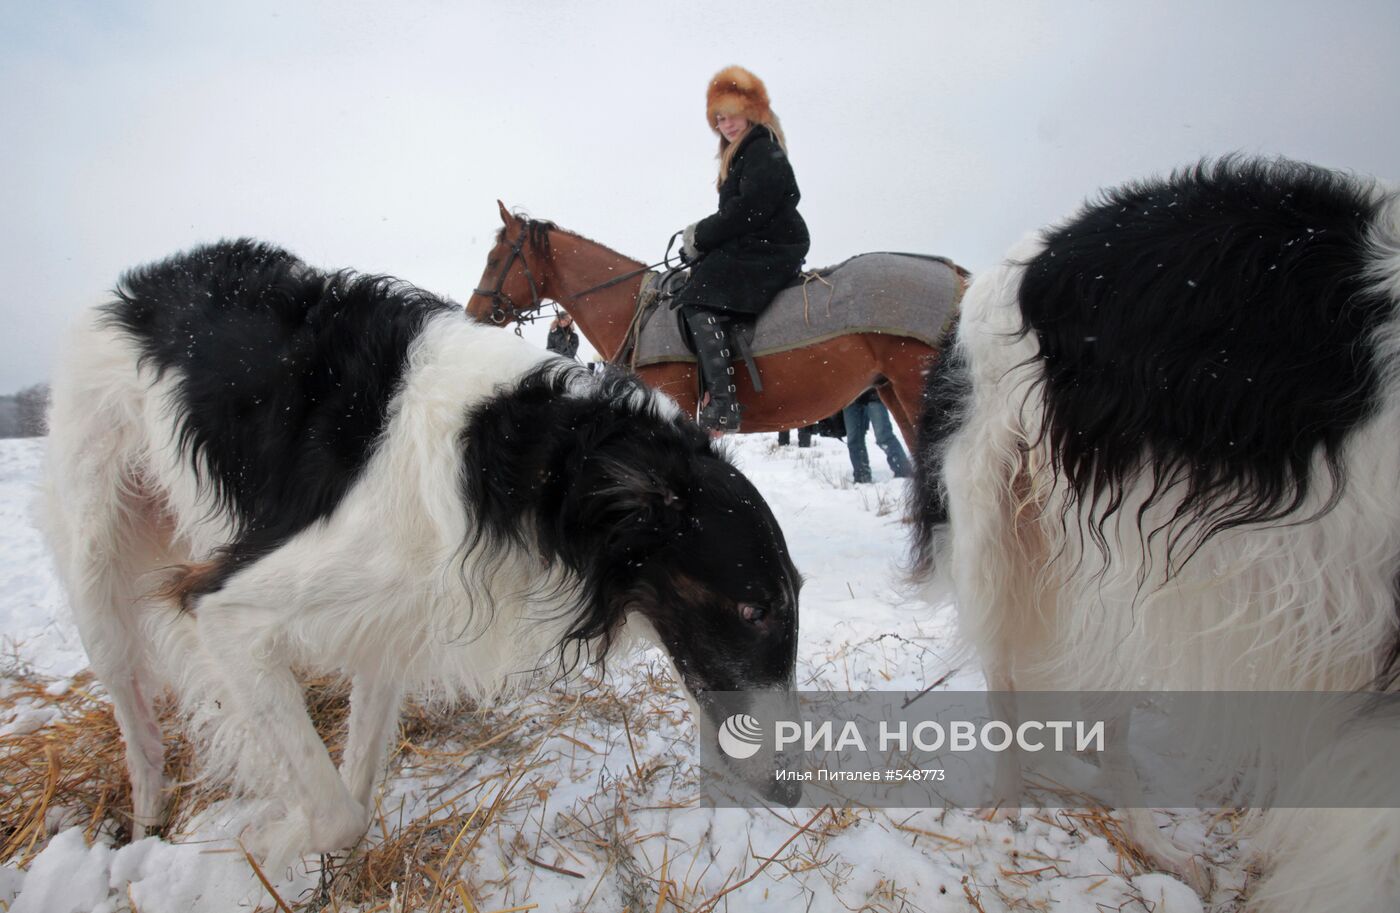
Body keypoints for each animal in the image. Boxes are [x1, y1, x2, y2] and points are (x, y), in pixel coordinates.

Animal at [40, 239, 800, 856]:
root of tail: (137, 286)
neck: (520, 464)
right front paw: (269, 843)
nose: (794, 792)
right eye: (754, 610)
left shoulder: (394, 617)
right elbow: (334, 814)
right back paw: (145, 829)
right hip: (97, 571)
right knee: (137, 723)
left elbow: (356, 790)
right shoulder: (222, 606)